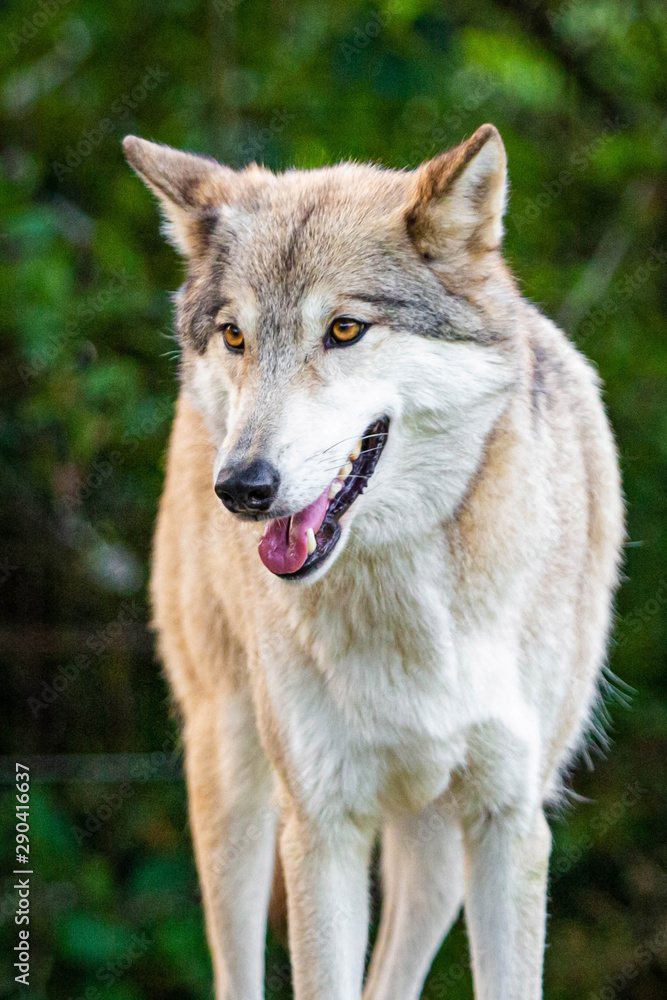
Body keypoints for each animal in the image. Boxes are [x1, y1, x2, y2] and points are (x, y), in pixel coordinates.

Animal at [124, 127, 628, 1000]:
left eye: (344, 330)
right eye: (235, 336)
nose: (243, 487)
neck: (409, 596)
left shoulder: (510, 825)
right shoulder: (321, 828)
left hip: (436, 855)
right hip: (233, 791)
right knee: (236, 966)